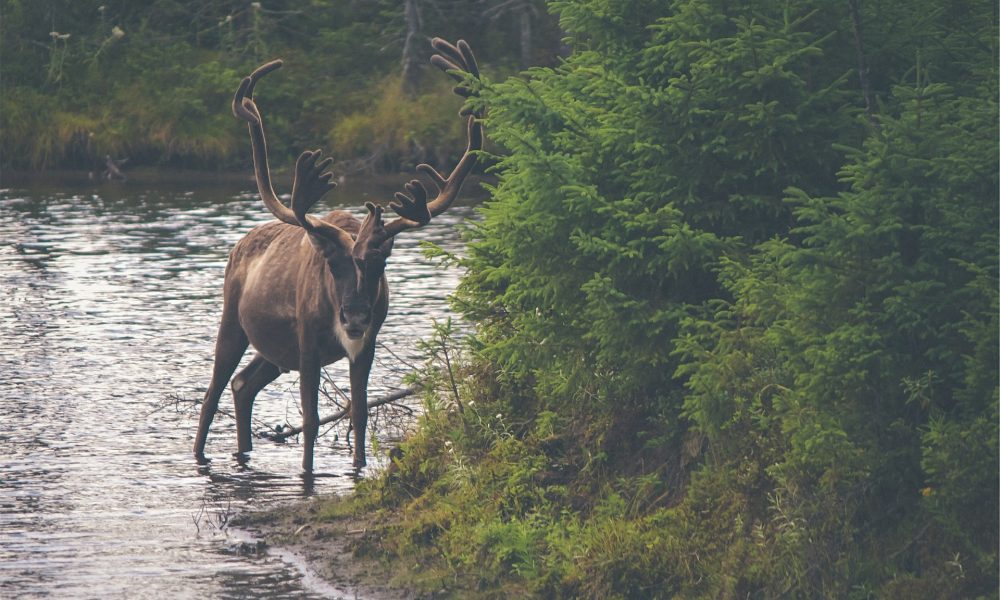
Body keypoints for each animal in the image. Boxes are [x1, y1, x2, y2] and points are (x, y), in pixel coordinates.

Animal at [193, 38, 483, 471]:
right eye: (332, 263)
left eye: (380, 263)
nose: (355, 316)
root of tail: (239, 245)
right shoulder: (308, 342)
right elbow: (311, 418)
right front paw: (307, 471)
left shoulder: (367, 344)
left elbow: (358, 411)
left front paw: (359, 467)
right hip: (233, 321)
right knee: (212, 394)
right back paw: (200, 453)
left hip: (274, 351)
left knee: (243, 384)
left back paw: (244, 450)